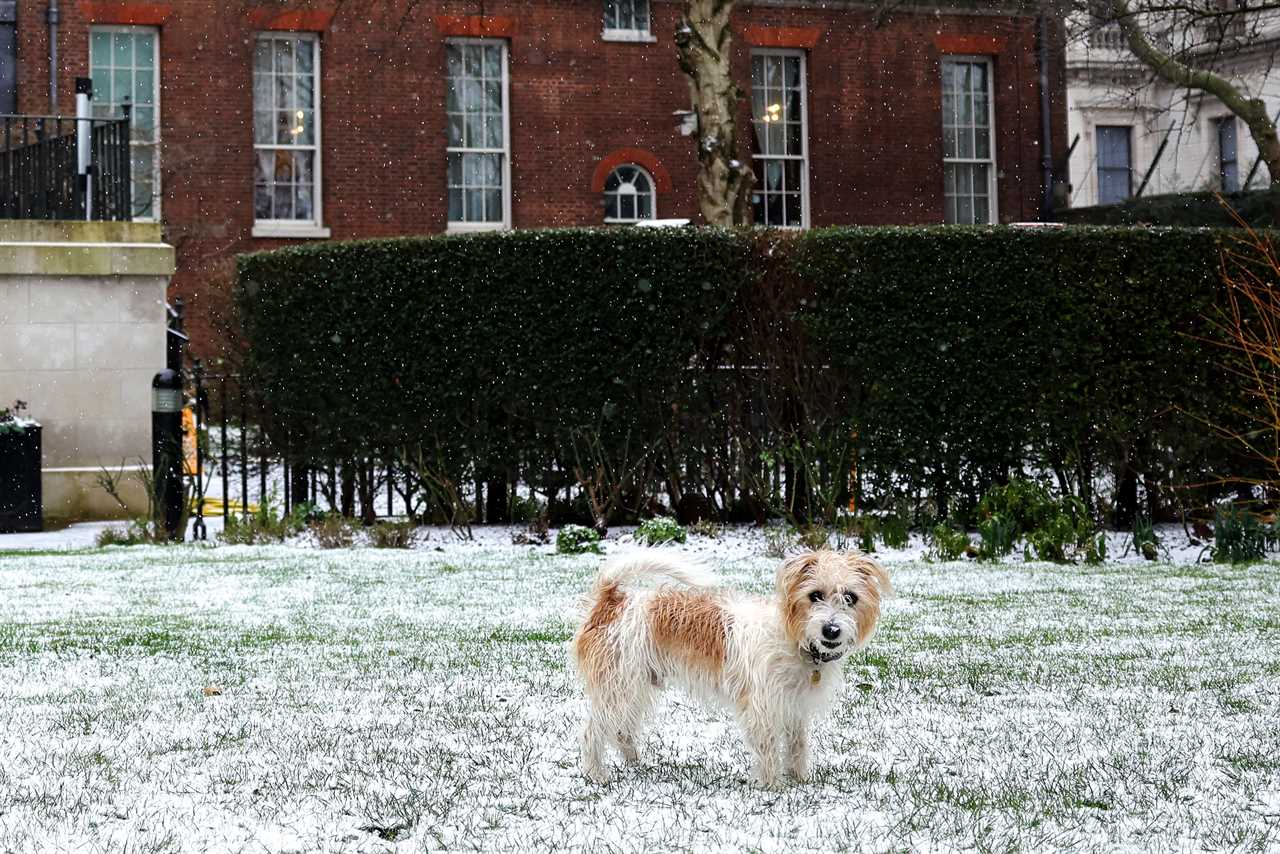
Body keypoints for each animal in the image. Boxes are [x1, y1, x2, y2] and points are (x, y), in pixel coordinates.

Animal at [570, 550, 890, 783]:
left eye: (850, 597)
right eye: (815, 595)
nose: (831, 630)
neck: (794, 639)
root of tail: (612, 601)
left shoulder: (793, 706)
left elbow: (797, 745)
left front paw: (799, 779)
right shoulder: (761, 706)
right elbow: (768, 748)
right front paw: (772, 785)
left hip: (633, 689)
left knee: (622, 731)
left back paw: (636, 763)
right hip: (617, 688)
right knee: (591, 732)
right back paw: (596, 775)